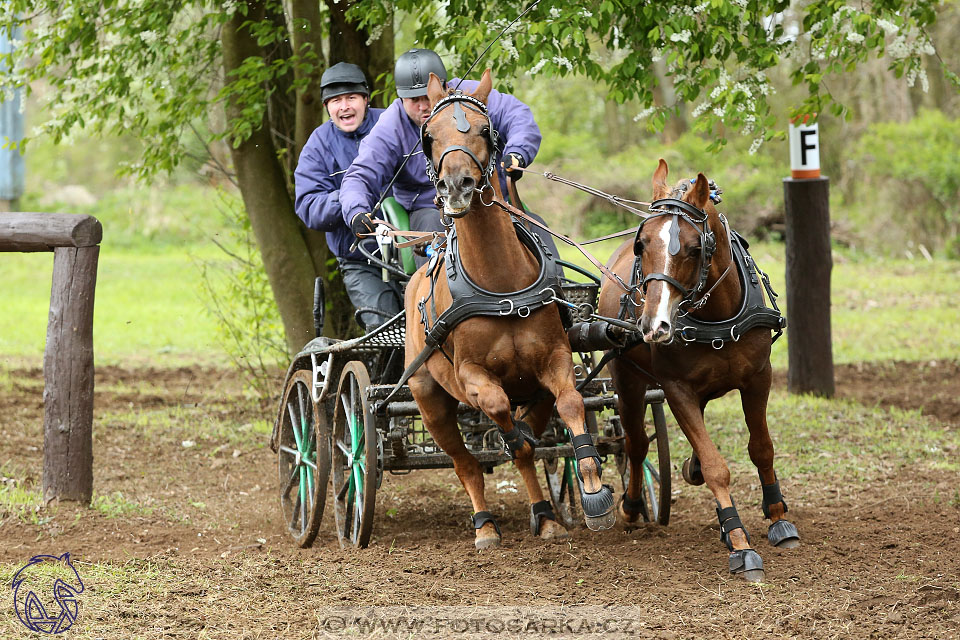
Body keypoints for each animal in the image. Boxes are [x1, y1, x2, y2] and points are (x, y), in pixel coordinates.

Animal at [404, 71, 616, 552]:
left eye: (486, 130)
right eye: (429, 135)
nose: (456, 186)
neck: (500, 286)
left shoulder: (555, 359)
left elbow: (570, 404)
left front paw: (593, 487)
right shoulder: (472, 376)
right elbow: (503, 420)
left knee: (533, 437)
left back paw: (547, 513)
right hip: (429, 399)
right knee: (466, 463)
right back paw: (485, 525)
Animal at [596, 159, 800, 580]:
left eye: (694, 248)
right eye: (643, 245)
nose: (653, 325)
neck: (716, 316)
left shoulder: (760, 377)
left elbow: (762, 448)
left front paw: (777, 516)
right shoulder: (676, 390)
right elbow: (714, 465)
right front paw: (738, 541)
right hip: (626, 377)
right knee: (635, 444)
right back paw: (632, 506)